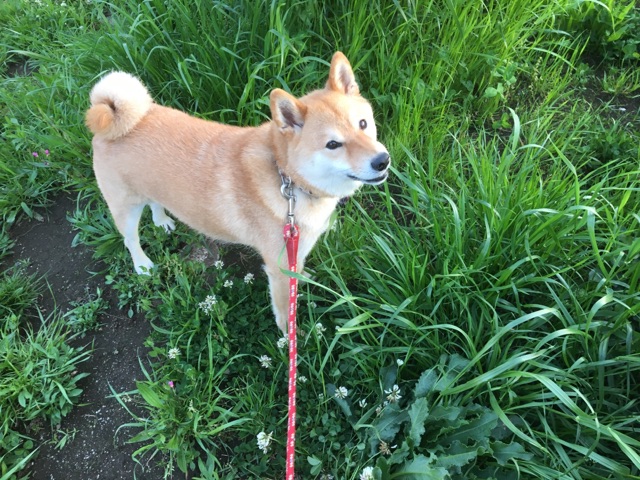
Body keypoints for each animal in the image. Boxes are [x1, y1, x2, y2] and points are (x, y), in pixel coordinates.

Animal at [85, 52, 390, 333]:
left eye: (363, 124)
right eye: (333, 144)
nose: (382, 161)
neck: (287, 178)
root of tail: (113, 116)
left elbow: (300, 272)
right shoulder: (278, 269)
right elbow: (285, 311)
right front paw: (289, 335)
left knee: (154, 203)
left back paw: (162, 221)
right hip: (124, 209)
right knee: (130, 239)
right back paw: (142, 265)